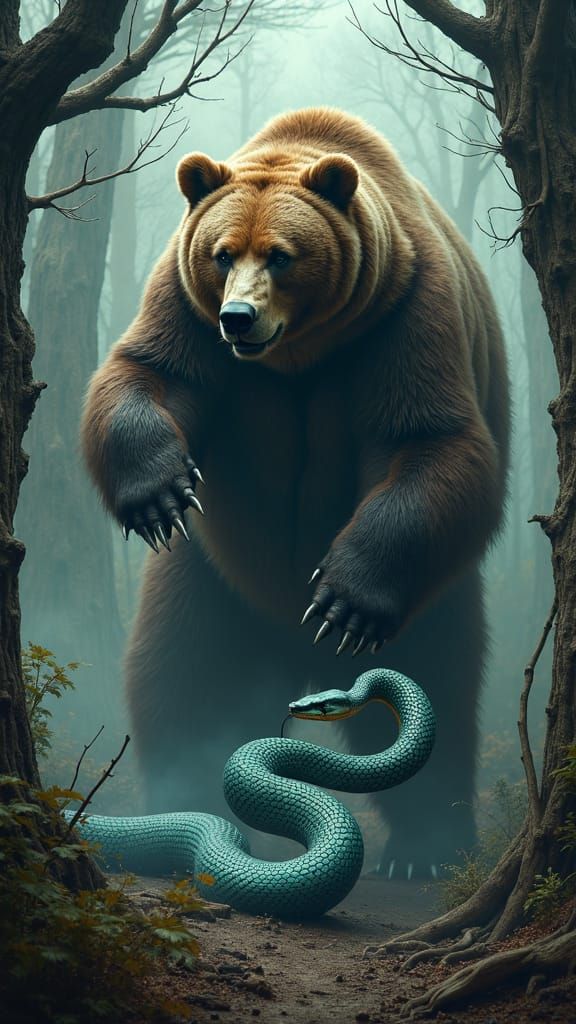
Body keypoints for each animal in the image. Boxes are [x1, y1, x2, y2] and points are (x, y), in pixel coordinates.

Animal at [82, 107, 509, 879]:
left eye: (281, 254)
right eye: (222, 253)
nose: (240, 317)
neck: (300, 353)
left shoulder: (404, 318)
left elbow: (429, 439)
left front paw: (342, 601)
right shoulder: (185, 309)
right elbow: (149, 372)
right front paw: (158, 495)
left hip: (430, 593)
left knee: (440, 673)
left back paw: (427, 845)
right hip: (208, 576)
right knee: (185, 672)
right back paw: (187, 805)